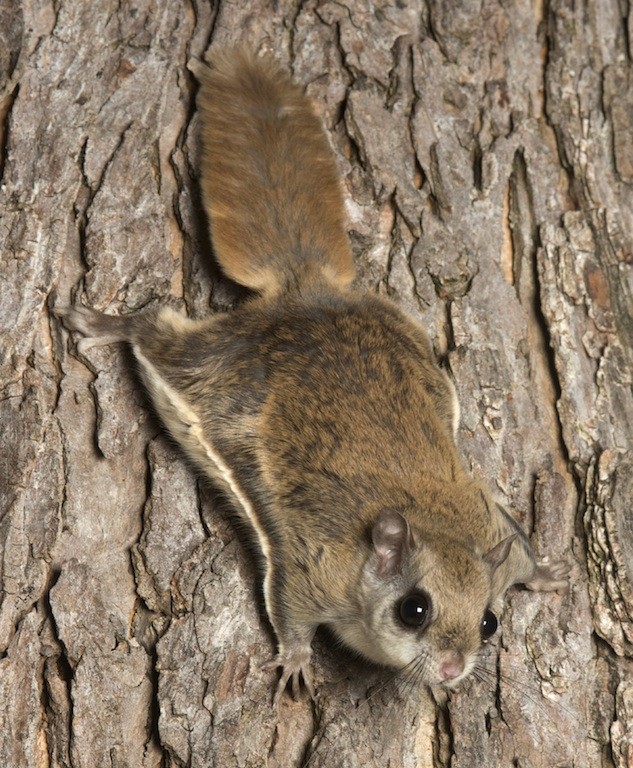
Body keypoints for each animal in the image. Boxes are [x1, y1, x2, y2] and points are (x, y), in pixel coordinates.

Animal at [58, 51, 568, 704]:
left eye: (489, 622)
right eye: (415, 610)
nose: (454, 667)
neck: (430, 526)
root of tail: (304, 293)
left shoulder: (489, 524)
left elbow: (518, 552)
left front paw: (546, 570)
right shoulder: (312, 570)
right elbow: (290, 610)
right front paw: (298, 661)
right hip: (210, 364)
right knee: (153, 328)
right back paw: (103, 323)